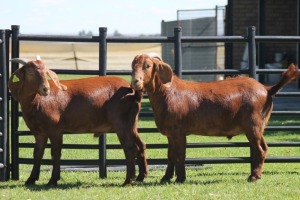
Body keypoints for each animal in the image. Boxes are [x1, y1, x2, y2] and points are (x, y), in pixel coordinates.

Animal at [8, 57, 149, 186]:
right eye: (31, 73)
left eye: (46, 72)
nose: (45, 89)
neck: (37, 101)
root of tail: (133, 91)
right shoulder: (39, 133)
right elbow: (37, 154)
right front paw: (31, 179)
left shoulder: (55, 130)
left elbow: (55, 153)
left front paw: (53, 180)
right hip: (131, 123)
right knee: (140, 145)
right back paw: (141, 177)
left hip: (121, 123)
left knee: (130, 148)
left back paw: (128, 181)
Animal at [131, 54, 300, 184]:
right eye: (133, 66)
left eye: (147, 66)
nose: (135, 81)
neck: (167, 93)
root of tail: (267, 89)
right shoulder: (171, 133)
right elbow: (171, 155)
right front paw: (166, 178)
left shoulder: (179, 132)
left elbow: (180, 154)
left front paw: (180, 179)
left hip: (254, 126)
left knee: (261, 149)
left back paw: (254, 177)